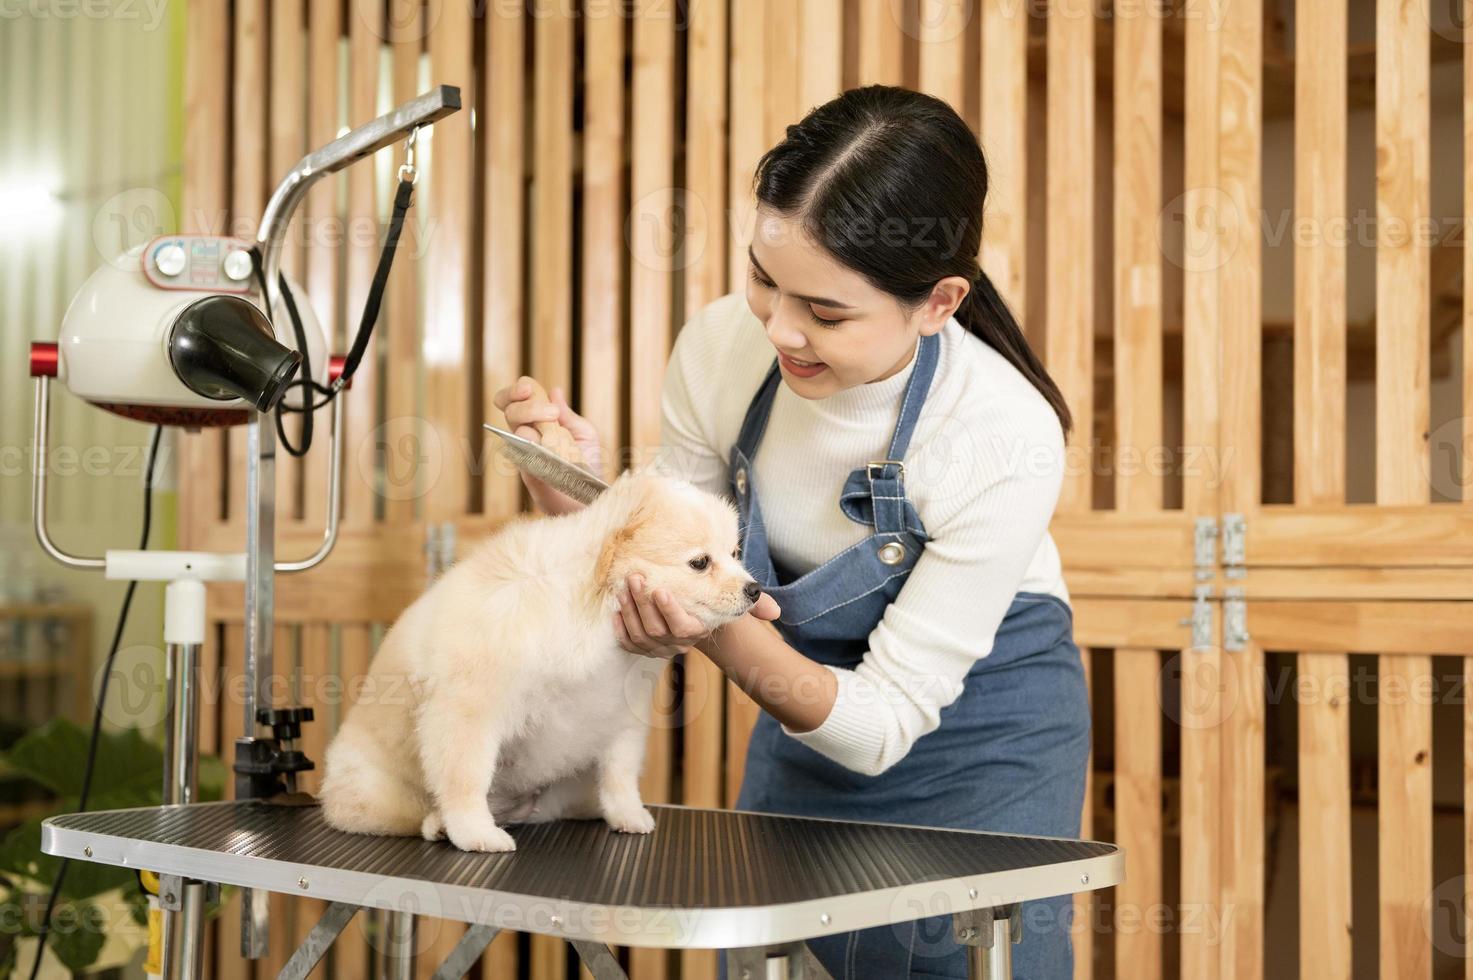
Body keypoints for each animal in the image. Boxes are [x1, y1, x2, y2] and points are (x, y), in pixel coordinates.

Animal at [322, 465, 760, 848]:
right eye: (700, 563)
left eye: (735, 552)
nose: (755, 590)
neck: (594, 616)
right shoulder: (468, 712)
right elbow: (465, 778)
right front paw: (474, 832)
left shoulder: (622, 716)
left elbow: (619, 775)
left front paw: (628, 815)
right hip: (374, 792)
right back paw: (441, 826)